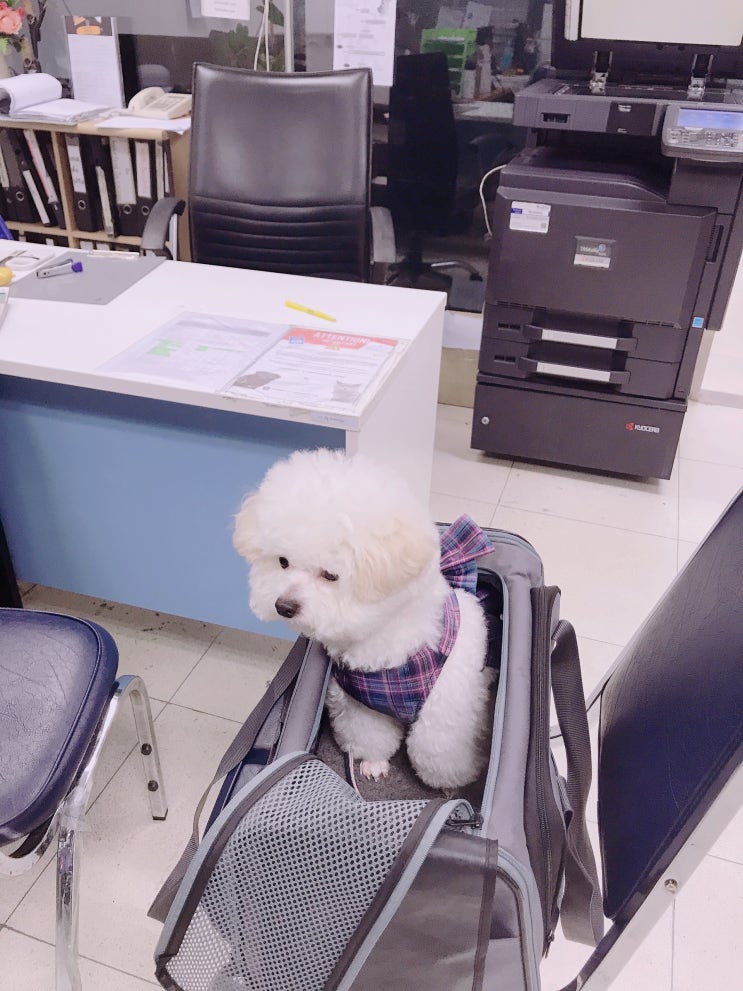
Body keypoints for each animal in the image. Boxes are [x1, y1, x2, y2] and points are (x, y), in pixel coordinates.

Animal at [233, 448, 494, 791]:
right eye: (283, 562)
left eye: (330, 575)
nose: (284, 606)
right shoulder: (360, 703)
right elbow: (371, 735)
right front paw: (374, 763)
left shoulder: (445, 710)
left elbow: (437, 752)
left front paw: (450, 785)